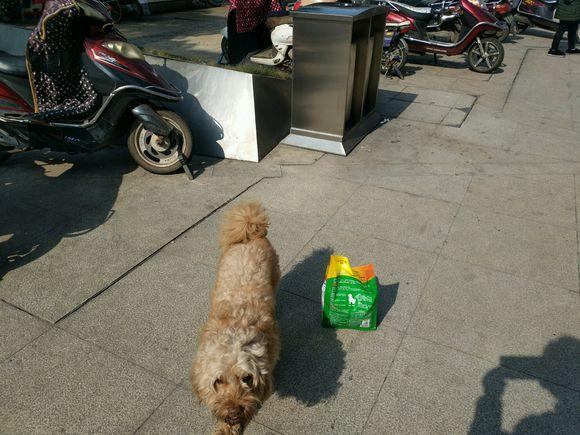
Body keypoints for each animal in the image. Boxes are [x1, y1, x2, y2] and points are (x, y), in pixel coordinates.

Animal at [190, 203, 280, 434]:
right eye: (218, 381)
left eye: (246, 378)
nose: (234, 411)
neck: (236, 321)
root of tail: (250, 233)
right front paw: (226, 427)